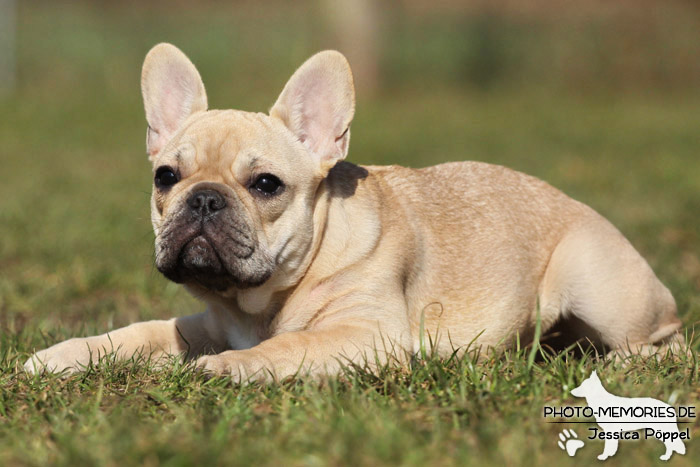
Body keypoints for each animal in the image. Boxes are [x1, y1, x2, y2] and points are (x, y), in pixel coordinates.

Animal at [26, 43, 684, 380]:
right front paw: (63, 355)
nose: (205, 197)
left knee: (665, 342)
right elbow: (139, 331)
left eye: (265, 184)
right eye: (166, 177)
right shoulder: (205, 324)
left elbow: (285, 349)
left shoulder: (367, 334)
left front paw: (227, 368)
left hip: (595, 283)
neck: (261, 302)